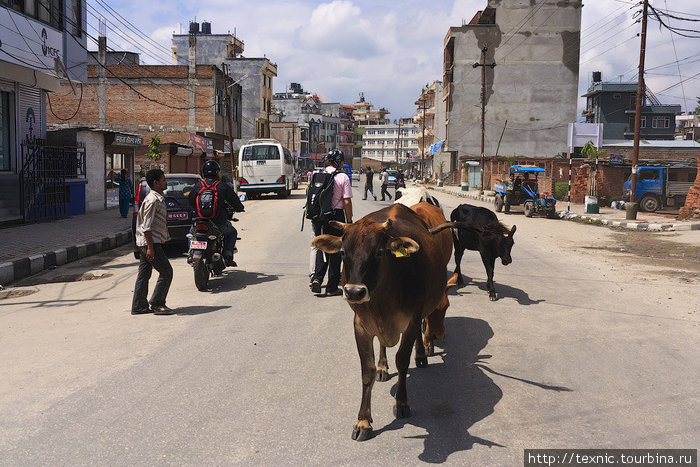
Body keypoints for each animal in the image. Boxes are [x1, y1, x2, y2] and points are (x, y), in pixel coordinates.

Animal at [314, 203, 456, 440]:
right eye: (343, 252)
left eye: (379, 252)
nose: (354, 292)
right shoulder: (360, 325)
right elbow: (367, 371)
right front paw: (363, 421)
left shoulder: (411, 321)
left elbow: (402, 361)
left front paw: (402, 403)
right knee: (381, 345)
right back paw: (383, 367)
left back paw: (420, 356)